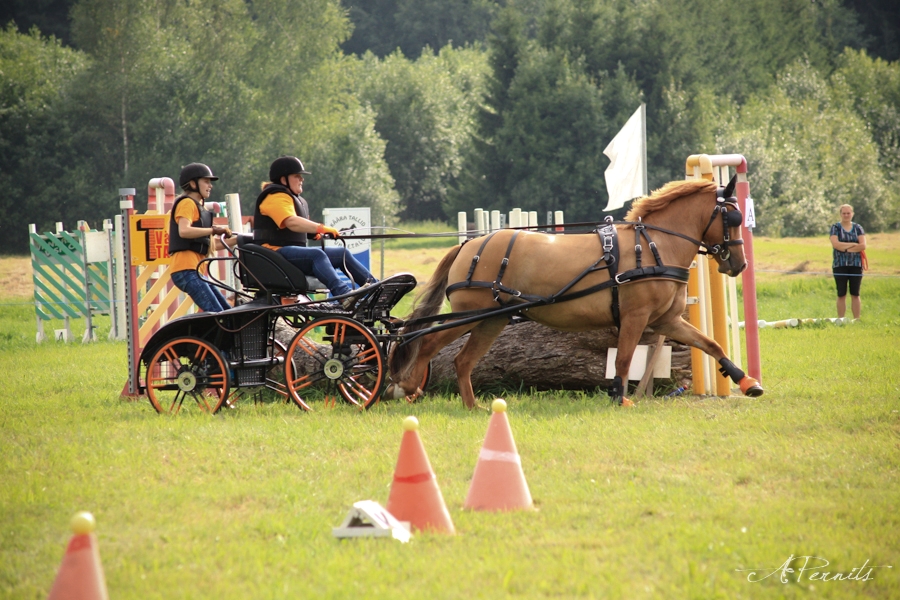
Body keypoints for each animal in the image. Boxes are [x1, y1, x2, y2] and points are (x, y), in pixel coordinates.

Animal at [388, 178, 764, 408]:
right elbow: (624, 358)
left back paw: (473, 406)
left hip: (491, 321)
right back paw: (407, 387)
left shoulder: (666, 321)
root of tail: (470, 244)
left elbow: (711, 344)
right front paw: (619, 397)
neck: (655, 246)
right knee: (426, 343)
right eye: (732, 217)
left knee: (462, 360)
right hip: (470, 315)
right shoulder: (636, 317)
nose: (739, 264)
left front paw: (747, 382)